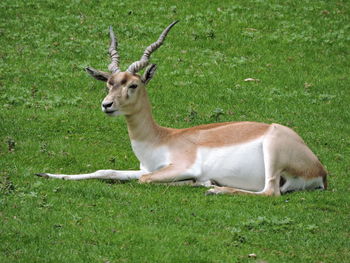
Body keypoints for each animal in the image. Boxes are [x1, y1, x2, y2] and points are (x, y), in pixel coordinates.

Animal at [34, 21, 326, 197]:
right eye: (109, 83)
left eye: (134, 84)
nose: (107, 105)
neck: (161, 139)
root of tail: (321, 170)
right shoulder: (147, 168)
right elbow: (105, 172)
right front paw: (45, 173)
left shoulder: (178, 167)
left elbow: (146, 181)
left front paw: (201, 181)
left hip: (272, 152)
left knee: (269, 192)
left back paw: (213, 188)